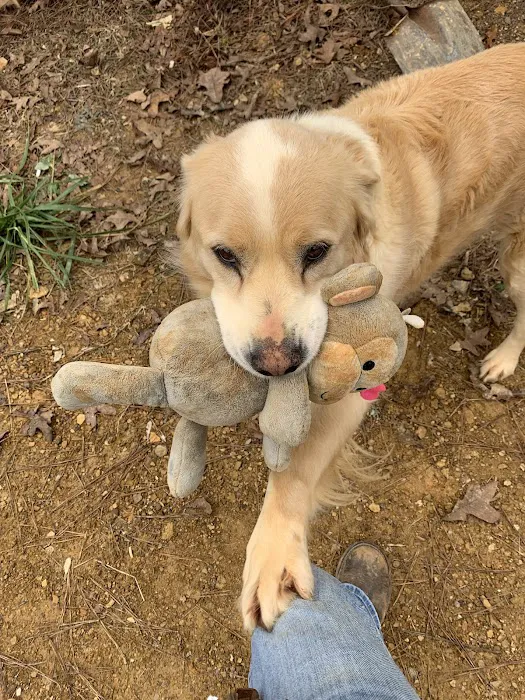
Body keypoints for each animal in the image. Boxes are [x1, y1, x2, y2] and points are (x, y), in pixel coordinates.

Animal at [175, 43, 525, 631]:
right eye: (224, 255)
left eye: (317, 252)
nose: (277, 363)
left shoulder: (349, 392)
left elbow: (294, 473)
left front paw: (275, 554)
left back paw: (503, 358)